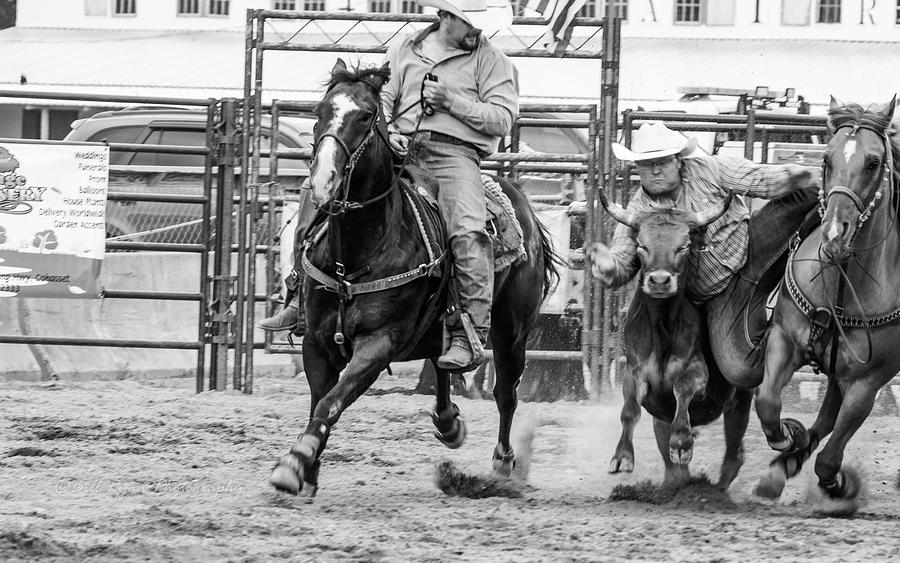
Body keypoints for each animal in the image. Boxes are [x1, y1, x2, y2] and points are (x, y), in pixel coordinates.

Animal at [268, 59, 556, 496]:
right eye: (319, 112)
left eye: (365, 116)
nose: (322, 181)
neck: (357, 253)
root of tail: (523, 204)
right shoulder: (316, 342)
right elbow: (320, 400)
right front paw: (308, 470)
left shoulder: (378, 344)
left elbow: (331, 402)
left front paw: (295, 463)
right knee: (444, 361)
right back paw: (449, 422)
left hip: (512, 331)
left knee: (506, 393)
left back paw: (504, 463)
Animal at [756, 96, 896, 516]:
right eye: (827, 159)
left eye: (873, 163)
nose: (835, 233)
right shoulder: (785, 340)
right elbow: (767, 401)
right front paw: (789, 439)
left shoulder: (868, 382)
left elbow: (830, 458)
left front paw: (840, 487)